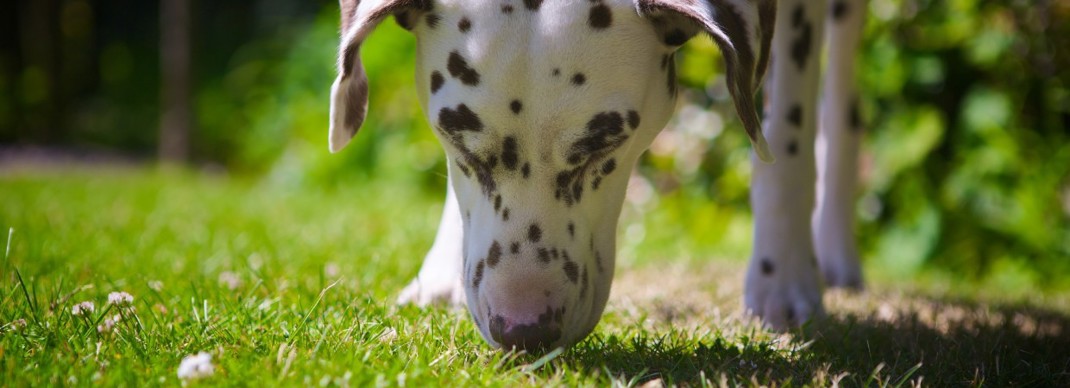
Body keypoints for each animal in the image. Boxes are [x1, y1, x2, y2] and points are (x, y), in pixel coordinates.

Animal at [331, 0, 868, 350]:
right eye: (459, 141)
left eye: (602, 146)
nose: (524, 331)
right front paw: (441, 270)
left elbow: (787, 139)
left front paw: (783, 283)